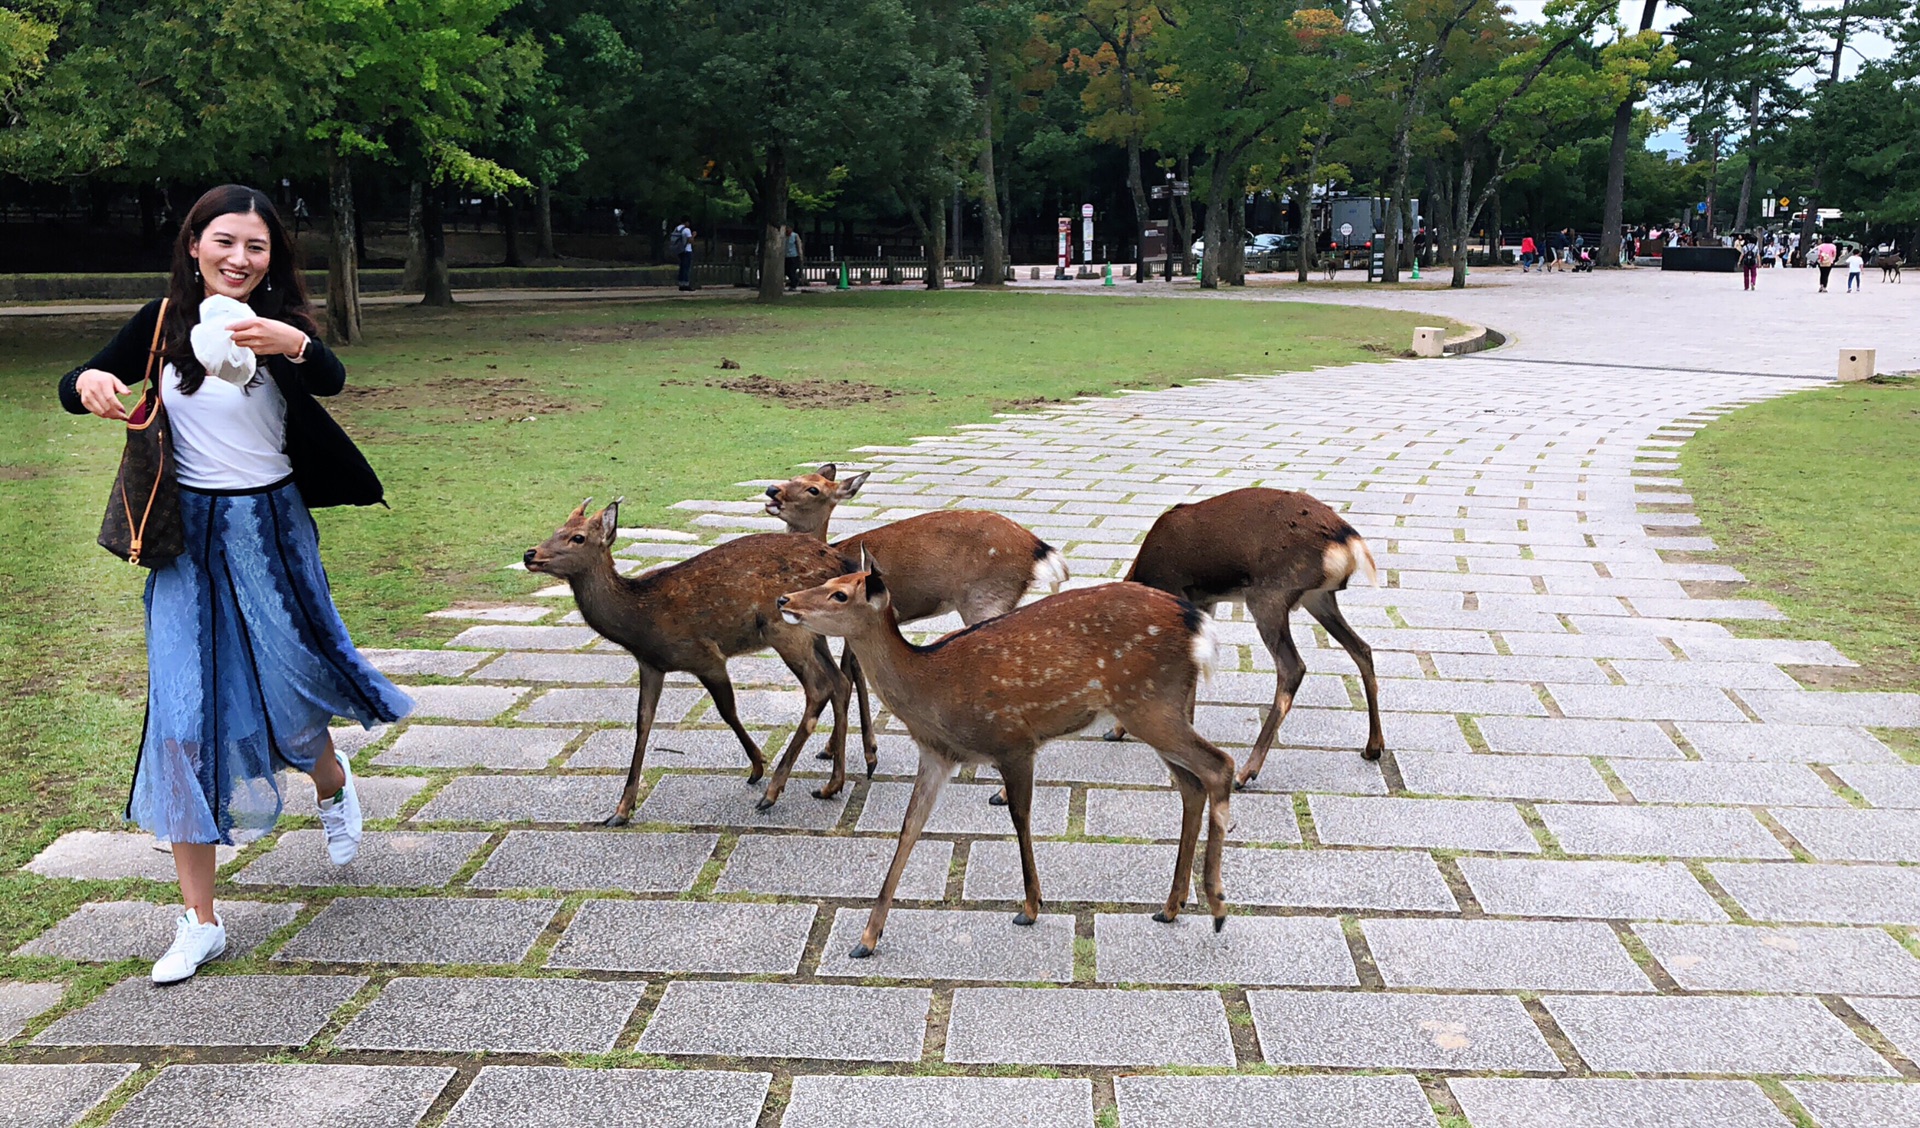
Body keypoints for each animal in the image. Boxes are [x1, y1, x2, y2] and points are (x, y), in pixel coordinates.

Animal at [526, 498, 856, 821]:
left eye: (578, 537)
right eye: (556, 529)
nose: (530, 553)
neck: (639, 621)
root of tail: (837, 560)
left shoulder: (705, 656)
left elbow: (727, 710)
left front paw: (758, 765)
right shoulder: (650, 664)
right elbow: (643, 722)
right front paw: (621, 809)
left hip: (784, 629)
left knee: (819, 688)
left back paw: (773, 792)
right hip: (815, 634)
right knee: (840, 681)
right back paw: (833, 783)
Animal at [760, 462, 1067, 763]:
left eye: (814, 489)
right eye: (794, 476)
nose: (772, 489)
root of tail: (1039, 549)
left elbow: (852, 673)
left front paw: (846, 750)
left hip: (985, 598)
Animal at [775, 556, 1228, 959]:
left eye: (839, 594)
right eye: (830, 578)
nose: (784, 599)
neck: (930, 688)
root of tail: (1199, 627)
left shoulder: (1013, 742)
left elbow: (1020, 817)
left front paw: (1030, 907)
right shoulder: (936, 755)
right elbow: (909, 828)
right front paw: (867, 938)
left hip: (1148, 703)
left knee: (1218, 765)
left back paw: (1217, 905)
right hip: (1157, 708)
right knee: (1191, 784)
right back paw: (1171, 906)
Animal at [1121, 485, 1390, 782]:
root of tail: (1348, 541)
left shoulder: (1178, 590)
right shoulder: (1204, 603)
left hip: (1268, 595)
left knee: (1293, 667)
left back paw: (1247, 771)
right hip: (1318, 597)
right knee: (1362, 649)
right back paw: (1373, 746)